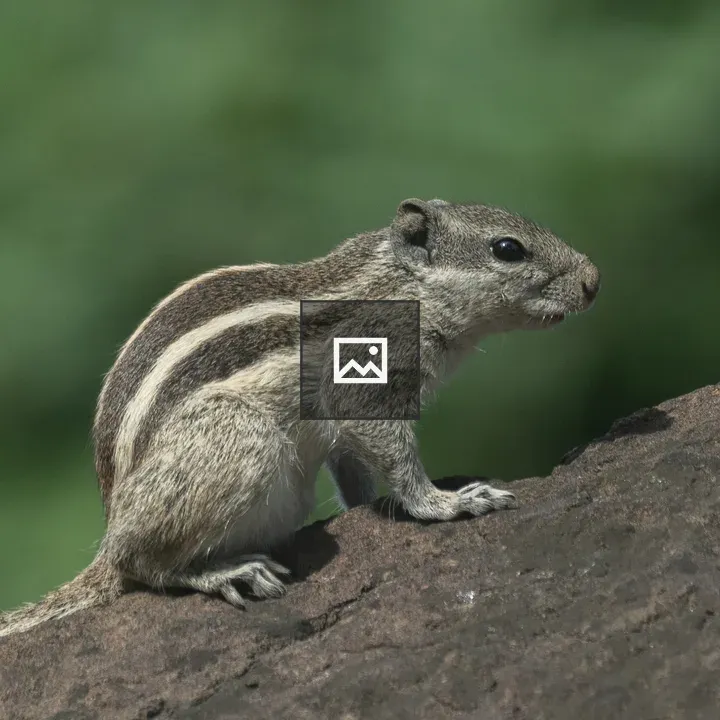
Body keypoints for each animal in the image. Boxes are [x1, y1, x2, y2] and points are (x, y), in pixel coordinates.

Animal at [0, 198, 600, 637]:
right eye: (507, 249)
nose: (594, 280)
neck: (400, 284)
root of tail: (108, 527)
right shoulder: (367, 389)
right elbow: (398, 460)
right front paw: (446, 504)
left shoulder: (343, 429)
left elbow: (354, 470)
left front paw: (371, 506)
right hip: (242, 440)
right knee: (140, 564)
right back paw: (224, 571)